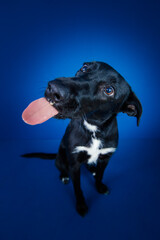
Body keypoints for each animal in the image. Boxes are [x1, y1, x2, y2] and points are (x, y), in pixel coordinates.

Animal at [23, 61, 141, 216]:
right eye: (84, 68)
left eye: (109, 90)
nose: (54, 88)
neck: (94, 130)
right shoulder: (74, 163)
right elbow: (77, 187)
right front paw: (81, 205)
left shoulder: (106, 158)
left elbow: (100, 175)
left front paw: (99, 186)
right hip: (61, 158)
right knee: (60, 167)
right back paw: (64, 176)